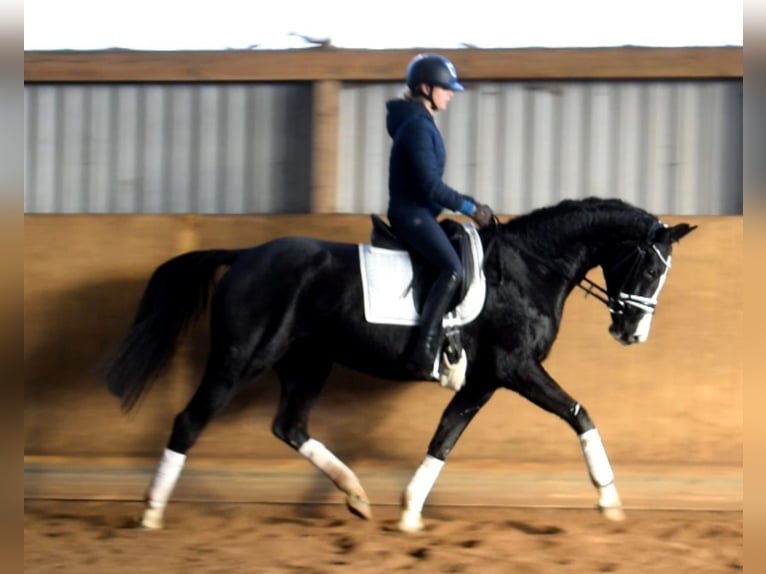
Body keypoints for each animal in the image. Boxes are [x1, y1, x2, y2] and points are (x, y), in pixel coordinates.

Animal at [100, 198, 696, 536]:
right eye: (650, 267)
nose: (632, 333)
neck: (530, 269)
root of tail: (246, 255)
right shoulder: (516, 369)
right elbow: (580, 414)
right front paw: (609, 500)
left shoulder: (484, 380)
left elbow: (445, 437)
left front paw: (409, 513)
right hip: (240, 358)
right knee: (189, 422)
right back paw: (150, 514)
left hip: (307, 362)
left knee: (290, 426)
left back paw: (357, 496)